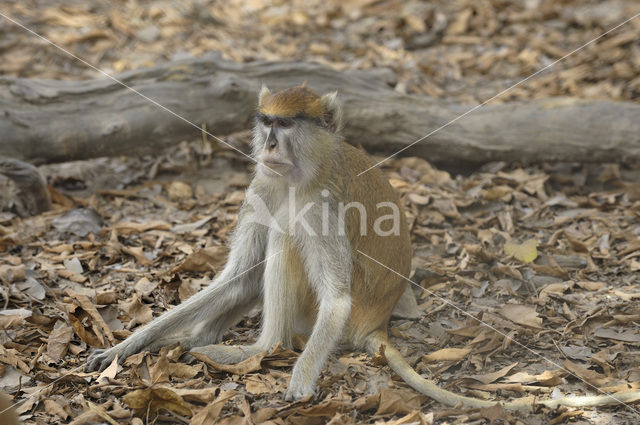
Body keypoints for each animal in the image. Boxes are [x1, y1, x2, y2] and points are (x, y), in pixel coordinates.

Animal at [89, 84, 640, 410]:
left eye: (287, 126)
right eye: (266, 122)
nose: (269, 146)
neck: (303, 172)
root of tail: (376, 324)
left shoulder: (320, 208)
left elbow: (334, 295)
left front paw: (300, 381)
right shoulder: (261, 188)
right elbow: (235, 277)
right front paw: (125, 346)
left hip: (331, 318)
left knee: (288, 245)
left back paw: (259, 349)